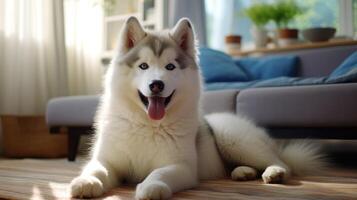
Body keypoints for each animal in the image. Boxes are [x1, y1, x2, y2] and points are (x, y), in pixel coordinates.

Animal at [69, 17, 322, 198]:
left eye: (170, 67)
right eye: (143, 66)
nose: (156, 84)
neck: (147, 124)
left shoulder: (181, 166)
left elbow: (160, 172)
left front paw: (152, 187)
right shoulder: (108, 160)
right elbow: (96, 169)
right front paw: (86, 182)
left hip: (232, 137)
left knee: (281, 162)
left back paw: (274, 172)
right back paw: (243, 172)